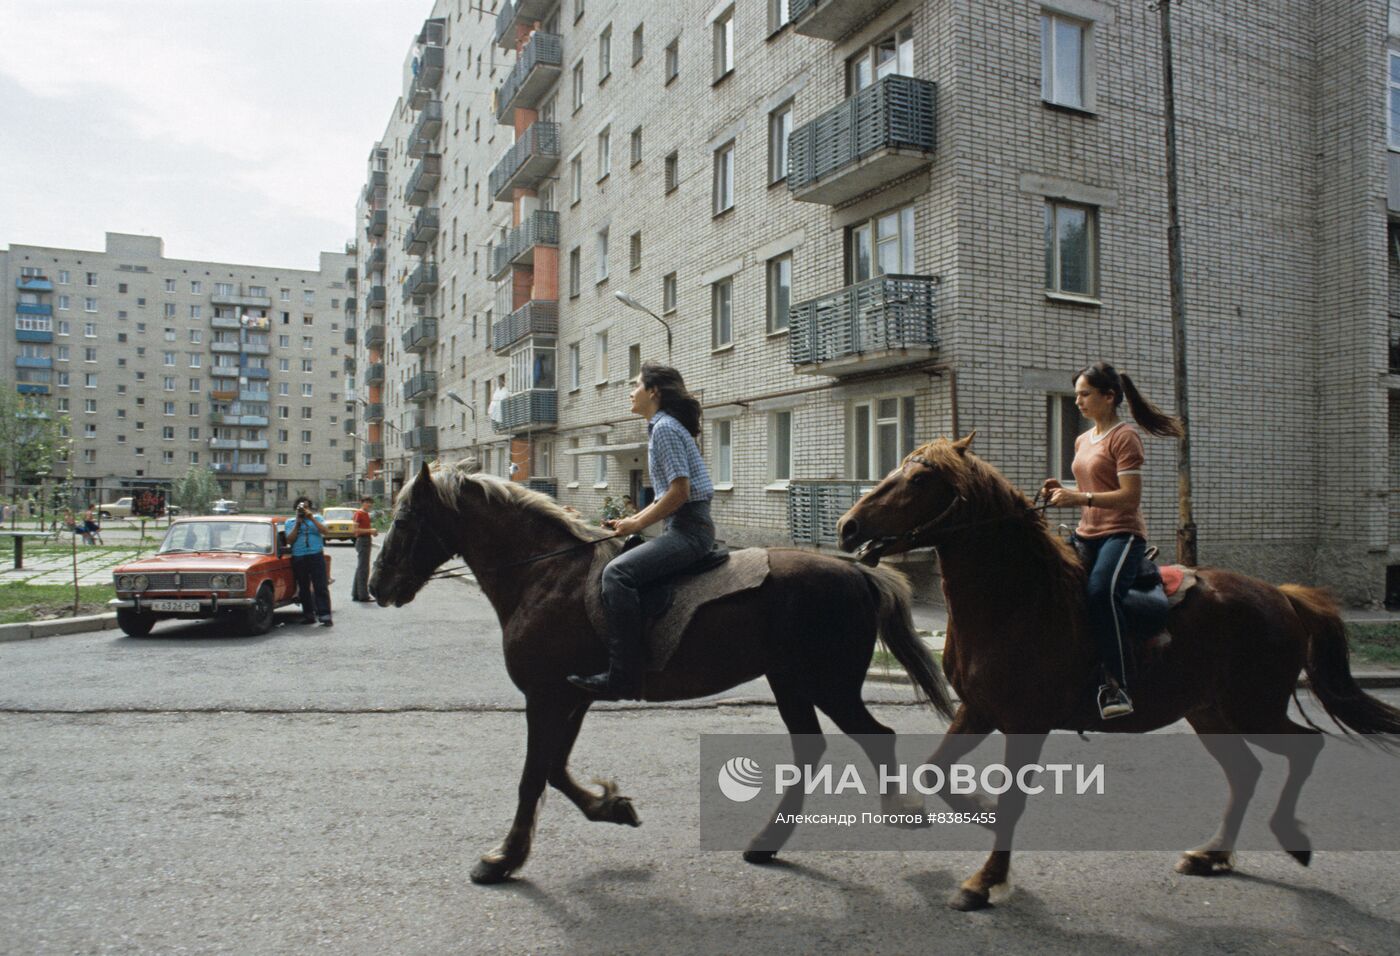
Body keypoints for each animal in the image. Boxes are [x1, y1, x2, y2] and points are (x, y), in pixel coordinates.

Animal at [372, 459, 957, 884]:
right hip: (791, 682)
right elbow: (555, 769)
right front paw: (611, 806)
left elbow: (533, 775)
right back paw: (768, 844)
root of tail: (858, 573)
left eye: (402, 521)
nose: (376, 586)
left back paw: (899, 808)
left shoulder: (545, 695)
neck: (548, 574)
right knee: (813, 751)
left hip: (828, 685)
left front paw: (503, 859)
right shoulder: (571, 696)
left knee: (876, 736)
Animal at [834, 436, 1400, 912]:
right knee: (1245, 772)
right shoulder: (979, 709)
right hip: (1210, 712)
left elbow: (1012, 802)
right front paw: (979, 808)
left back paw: (1290, 838)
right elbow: (937, 772)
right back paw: (1213, 854)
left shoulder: (1025, 722)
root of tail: (1281, 595)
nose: (848, 527)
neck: (1019, 598)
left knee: (1304, 747)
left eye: (919, 479)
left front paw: (986, 880)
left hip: (1253, 708)